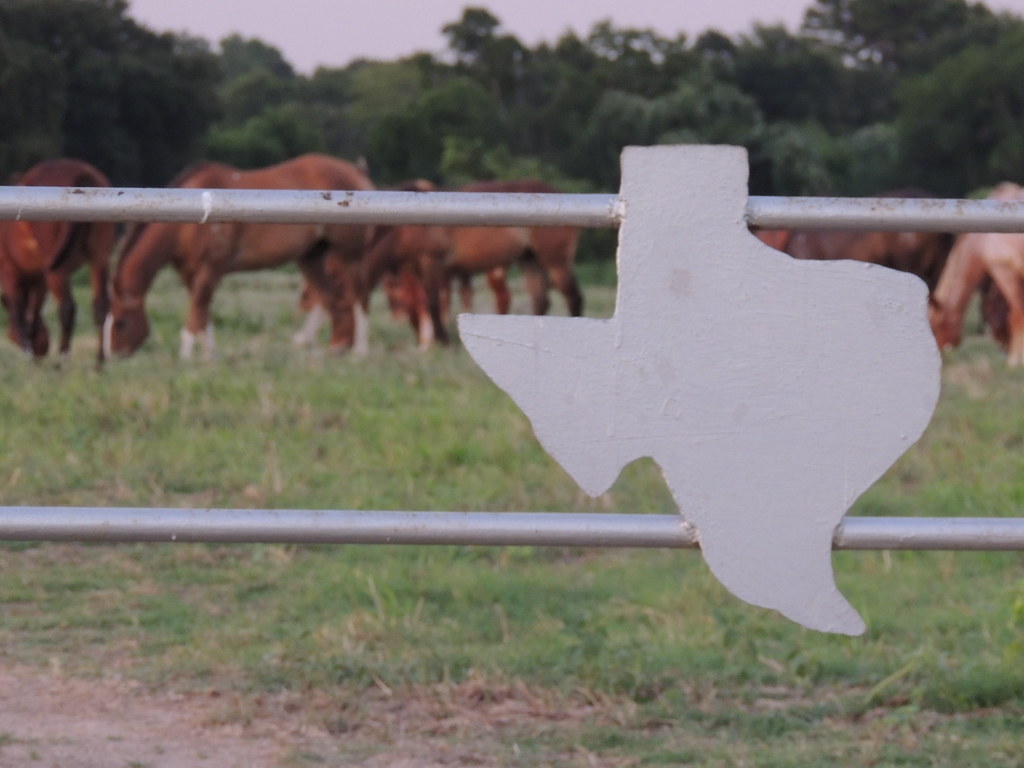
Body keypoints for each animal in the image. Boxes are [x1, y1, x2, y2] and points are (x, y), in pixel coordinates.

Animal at [0, 158, 116, 363]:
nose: (42, 350)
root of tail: (82, 174)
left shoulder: (10, 271)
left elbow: (20, 311)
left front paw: (28, 351)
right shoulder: (38, 279)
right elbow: (34, 308)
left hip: (57, 270)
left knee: (67, 308)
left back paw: (62, 360)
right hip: (100, 258)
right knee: (101, 305)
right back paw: (99, 361)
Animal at [105, 154, 375, 359]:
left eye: (120, 323)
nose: (112, 355)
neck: (182, 226)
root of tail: (355, 170)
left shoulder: (209, 270)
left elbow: (197, 311)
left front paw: (187, 355)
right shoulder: (191, 273)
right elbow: (202, 312)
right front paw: (209, 354)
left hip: (348, 255)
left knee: (356, 297)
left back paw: (359, 351)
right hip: (311, 257)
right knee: (331, 298)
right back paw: (334, 345)